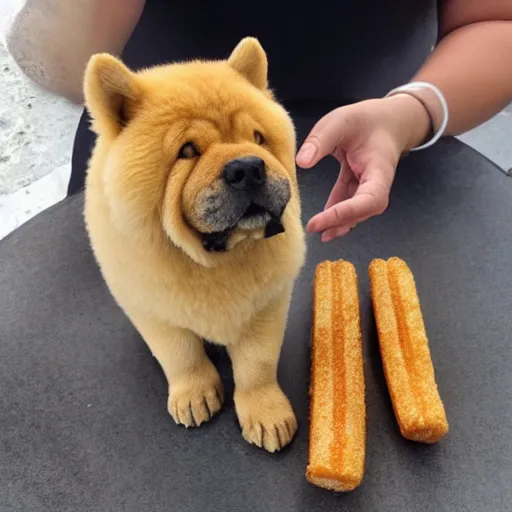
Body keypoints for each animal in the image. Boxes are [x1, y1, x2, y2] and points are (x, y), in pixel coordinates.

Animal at [84, 37, 306, 452]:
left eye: (257, 139)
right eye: (187, 151)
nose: (248, 167)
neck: (214, 261)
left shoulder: (266, 304)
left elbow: (257, 365)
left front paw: (266, 415)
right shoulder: (152, 308)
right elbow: (180, 354)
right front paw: (194, 395)